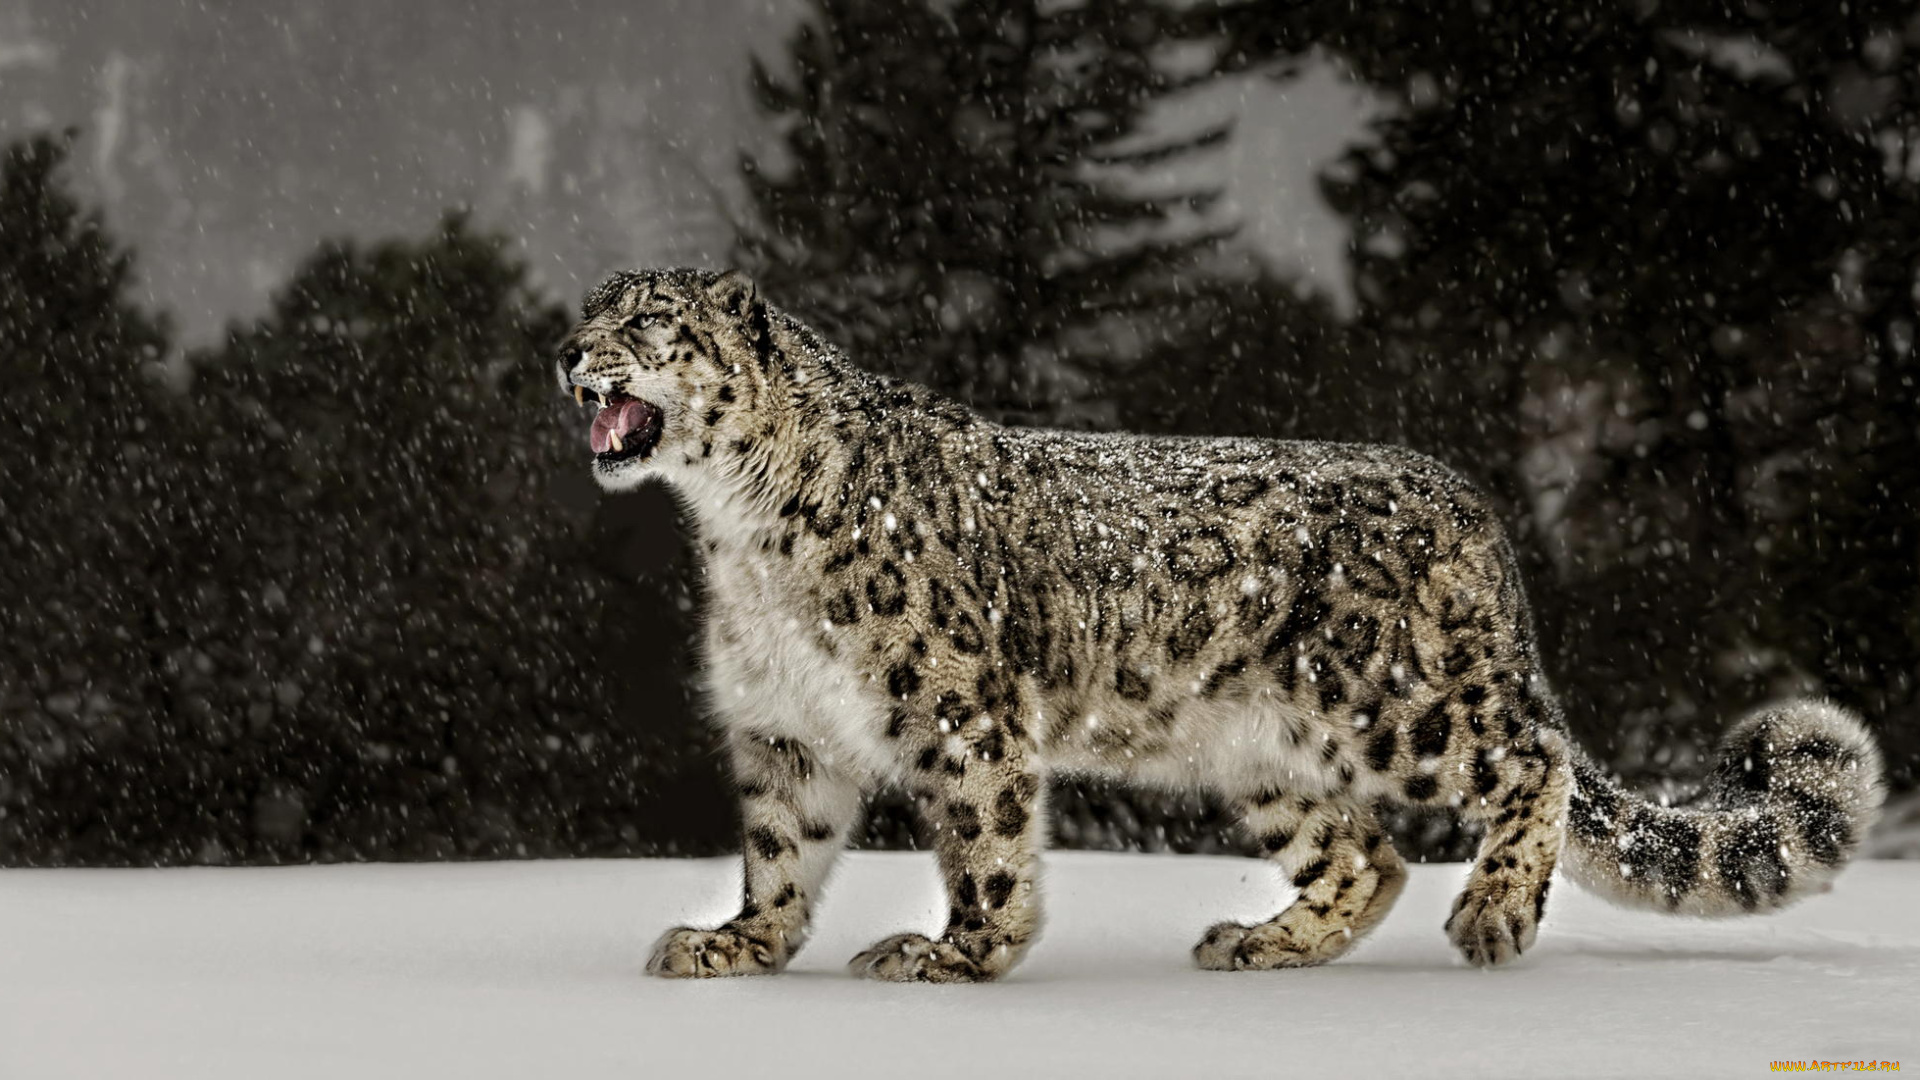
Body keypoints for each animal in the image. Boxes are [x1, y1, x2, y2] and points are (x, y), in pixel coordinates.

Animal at [554, 267, 1885, 982]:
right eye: (590, 310)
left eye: (647, 321)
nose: (566, 349)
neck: (737, 535)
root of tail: (1469, 504)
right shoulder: (783, 727)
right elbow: (782, 851)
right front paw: (735, 945)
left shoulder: (957, 706)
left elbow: (983, 845)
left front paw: (954, 955)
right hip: (1262, 753)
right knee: (1365, 854)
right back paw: (1262, 942)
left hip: (1405, 702)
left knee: (1533, 761)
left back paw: (1496, 909)